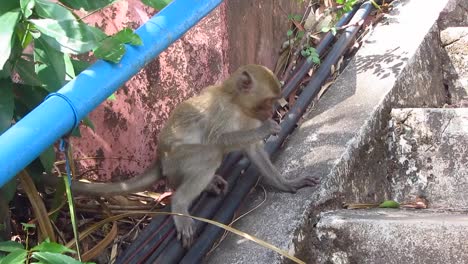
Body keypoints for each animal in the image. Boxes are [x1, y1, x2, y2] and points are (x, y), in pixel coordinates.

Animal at [45, 64, 320, 248]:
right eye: (268, 100)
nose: (274, 110)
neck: (236, 102)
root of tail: (160, 158)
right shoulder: (222, 112)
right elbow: (216, 140)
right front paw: (267, 129)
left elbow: (253, 151)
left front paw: (288, 184)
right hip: (178, 159)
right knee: (209, 156)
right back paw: (180, 203)